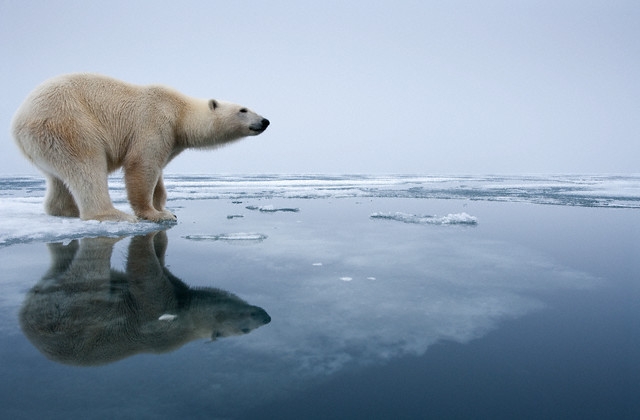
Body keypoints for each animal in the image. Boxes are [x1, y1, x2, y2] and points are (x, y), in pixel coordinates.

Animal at [10, 73, 270, 221]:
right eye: (243, 109)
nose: (265, 121)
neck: (180, 112)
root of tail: (17, 122)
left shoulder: (171, 140)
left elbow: (159, 174)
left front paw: (165, 208)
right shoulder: (155, 122)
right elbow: (142, 165)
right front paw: (155, 214)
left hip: (45, 141)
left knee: (58, 177)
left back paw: (67, 211)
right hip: (68, 123)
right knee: (87, 165)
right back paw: (113, 215)